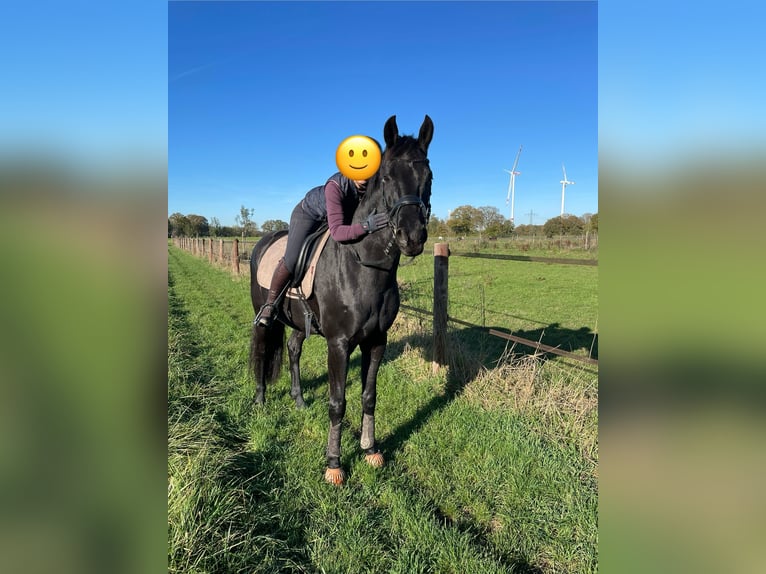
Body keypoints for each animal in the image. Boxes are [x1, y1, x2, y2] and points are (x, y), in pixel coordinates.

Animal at [250, 115, 436, 488]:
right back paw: (261, 400)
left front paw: (370, 449)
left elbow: (369, 396)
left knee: (292, 349)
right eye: (387, 176)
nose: (412, 237)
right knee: (263, 348)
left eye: (430, 176)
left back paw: (299, 400)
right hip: (265, 314)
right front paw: (334, 463)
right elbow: (338, 402)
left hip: (298, 322)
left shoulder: (376, 341)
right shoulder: (338, 344)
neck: (364, 266)